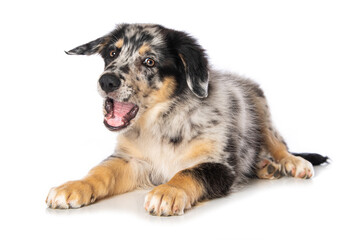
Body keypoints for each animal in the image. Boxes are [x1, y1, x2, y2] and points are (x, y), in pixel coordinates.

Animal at [45, 23, 326, 216]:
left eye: (150, 61)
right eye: (113, 53)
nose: (107, 81)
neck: (161, 124)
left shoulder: (218, 164)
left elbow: (189, 172)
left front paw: (167, 192)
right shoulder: (132, 160)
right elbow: (101, 171)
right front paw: (73, 186)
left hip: (260, 105)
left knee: (279, 144)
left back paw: (292, 163)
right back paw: (264, 167)